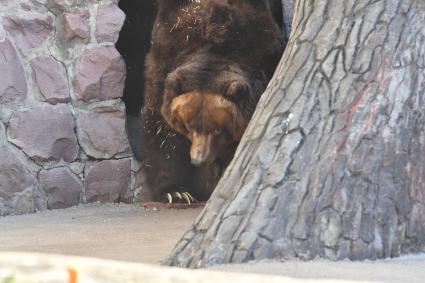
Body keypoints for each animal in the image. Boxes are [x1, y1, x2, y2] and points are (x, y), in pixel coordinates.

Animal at [141, 0, 284, 204]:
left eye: (217, 129)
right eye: (188, 126)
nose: (197, 160)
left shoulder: (264, 52)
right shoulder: (165, 55)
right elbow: (161, 130)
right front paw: (175, 191)